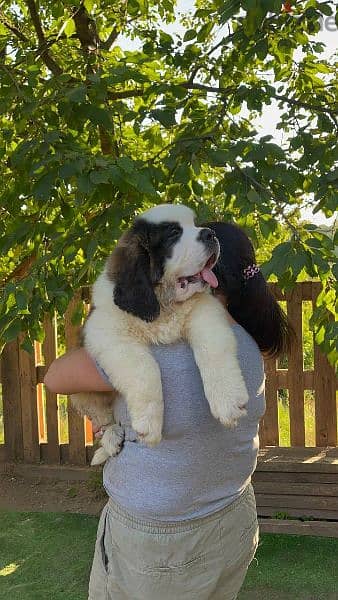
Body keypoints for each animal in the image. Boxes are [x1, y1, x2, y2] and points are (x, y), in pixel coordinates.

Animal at [71, 203, 248, 464]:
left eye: (195, 224)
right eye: (173, 234)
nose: (210, 234)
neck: (164, 304)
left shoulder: (204, 308)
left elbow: (213, 348)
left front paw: (228, 400)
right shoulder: (105, 331)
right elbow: (144, 368)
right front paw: (148, 423)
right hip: (83, 395)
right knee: (101, 417)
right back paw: (111, 437)